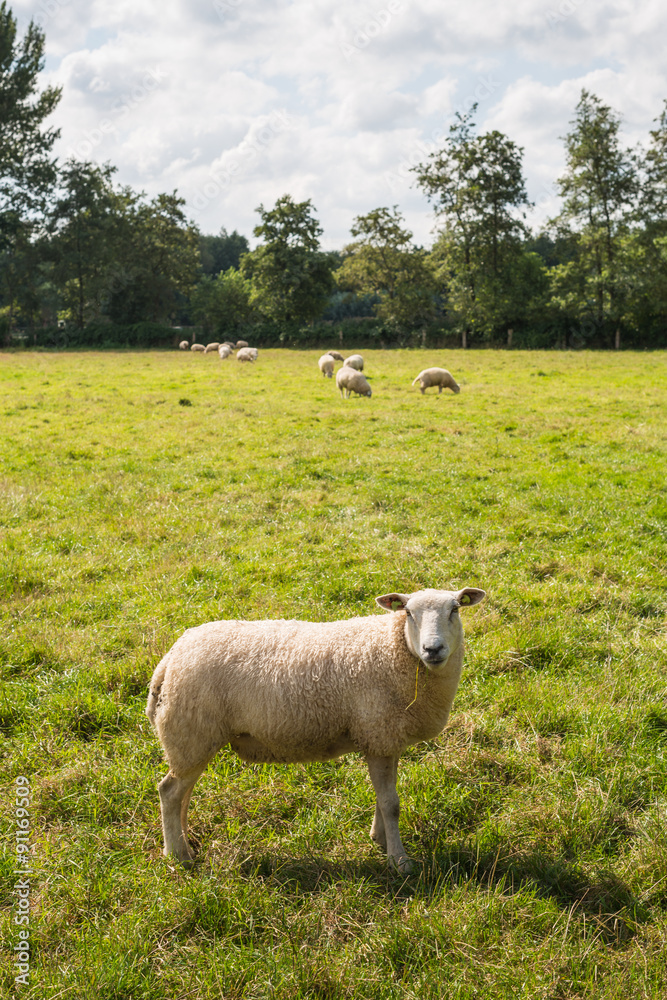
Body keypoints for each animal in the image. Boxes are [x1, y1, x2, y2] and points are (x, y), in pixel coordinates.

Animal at [146, 586, 485, 873]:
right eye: (409, 613)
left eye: (455, 609)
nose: (433, 649)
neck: (393, 649)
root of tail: (170, 658)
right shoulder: (378, 733)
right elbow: (392, 805)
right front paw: (399, 862)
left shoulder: (383, 738)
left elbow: (384, 798)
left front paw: (379, 839)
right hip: (190, 733)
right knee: (169, 792)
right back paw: (178, 855)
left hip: (192, 740)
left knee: (183, 793)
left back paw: (185, 840)